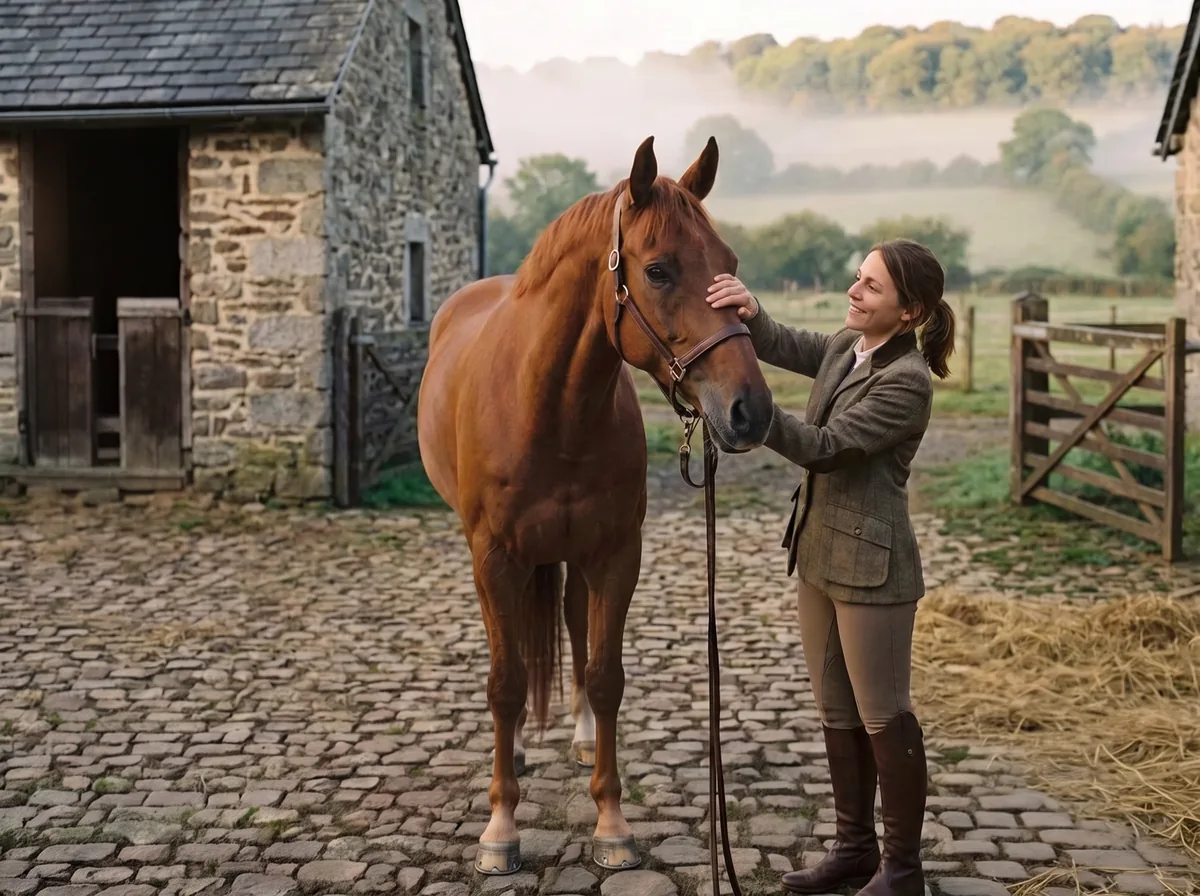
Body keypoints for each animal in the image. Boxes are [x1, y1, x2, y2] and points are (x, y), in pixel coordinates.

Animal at [416, 135, 775, 875]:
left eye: (728, 266)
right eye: (659, 270)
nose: (750, 412)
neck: (548, 406)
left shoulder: (615, 553)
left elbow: (605, 673)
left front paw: (611, 821)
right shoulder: (494, 558)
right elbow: (504, 681)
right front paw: (500, 828)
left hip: (575, 555)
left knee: (576, 628)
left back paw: (580, 735)